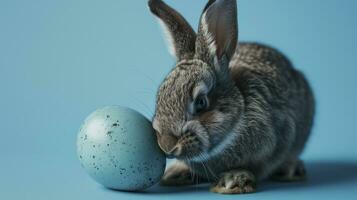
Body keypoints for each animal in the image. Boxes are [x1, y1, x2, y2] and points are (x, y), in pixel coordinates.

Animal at [147, 0, 314, 194]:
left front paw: (233, 180)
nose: (167, 146)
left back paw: (290, 170)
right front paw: (177, 171)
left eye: (201, 102)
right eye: (159, 97)